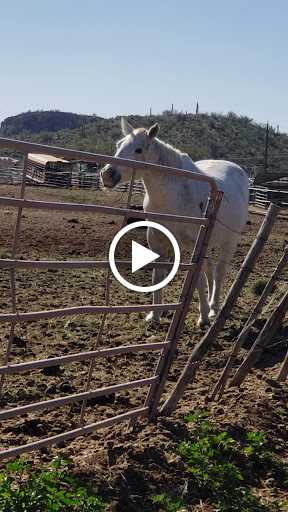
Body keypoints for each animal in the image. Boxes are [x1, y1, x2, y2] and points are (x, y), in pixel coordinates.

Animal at [102, 118, 250, 326]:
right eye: (118, 145)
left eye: (138, 149)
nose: (107, 174)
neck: (173, 196)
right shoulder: (157, 241)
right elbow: (158, 277)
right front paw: (154, 314)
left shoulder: (195, 245)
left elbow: (198, 280)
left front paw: (203, 317)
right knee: (211, 269)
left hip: (230, 241)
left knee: (220, 273)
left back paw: (213, 309)